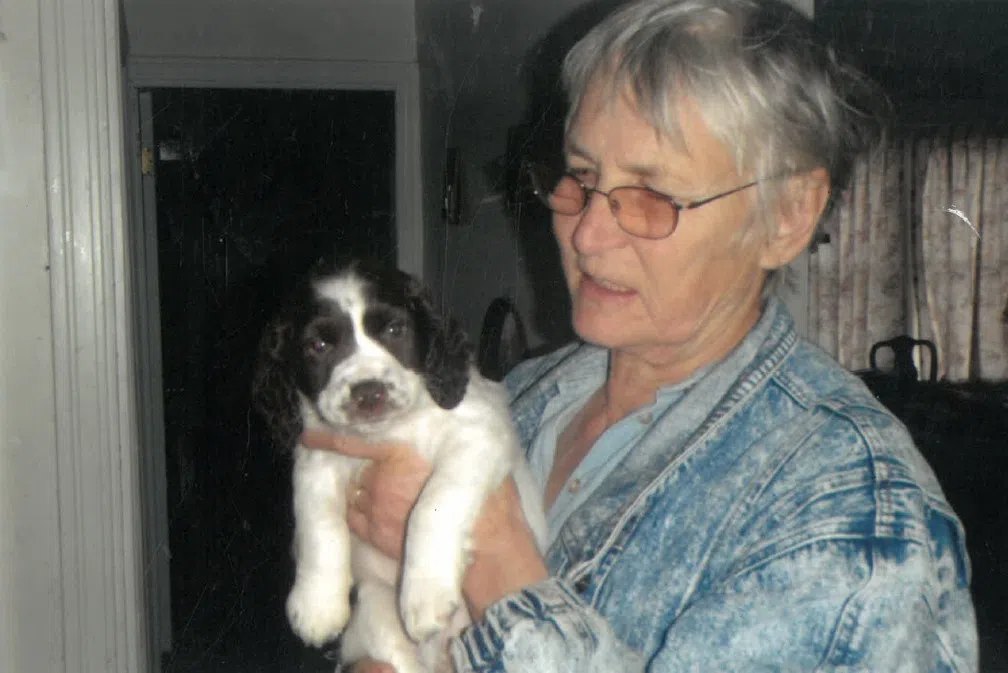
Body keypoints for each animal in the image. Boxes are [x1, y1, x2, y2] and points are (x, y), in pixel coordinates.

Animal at [251, 259, 547, 673]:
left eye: (395, 330)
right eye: (318, 346)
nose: (368, 392)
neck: (386, 432)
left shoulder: (476, 435)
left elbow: (432, 506)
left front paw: (425, 596)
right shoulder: (315, 457)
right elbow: (317, 524)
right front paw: (315, 606)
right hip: (375, 615)